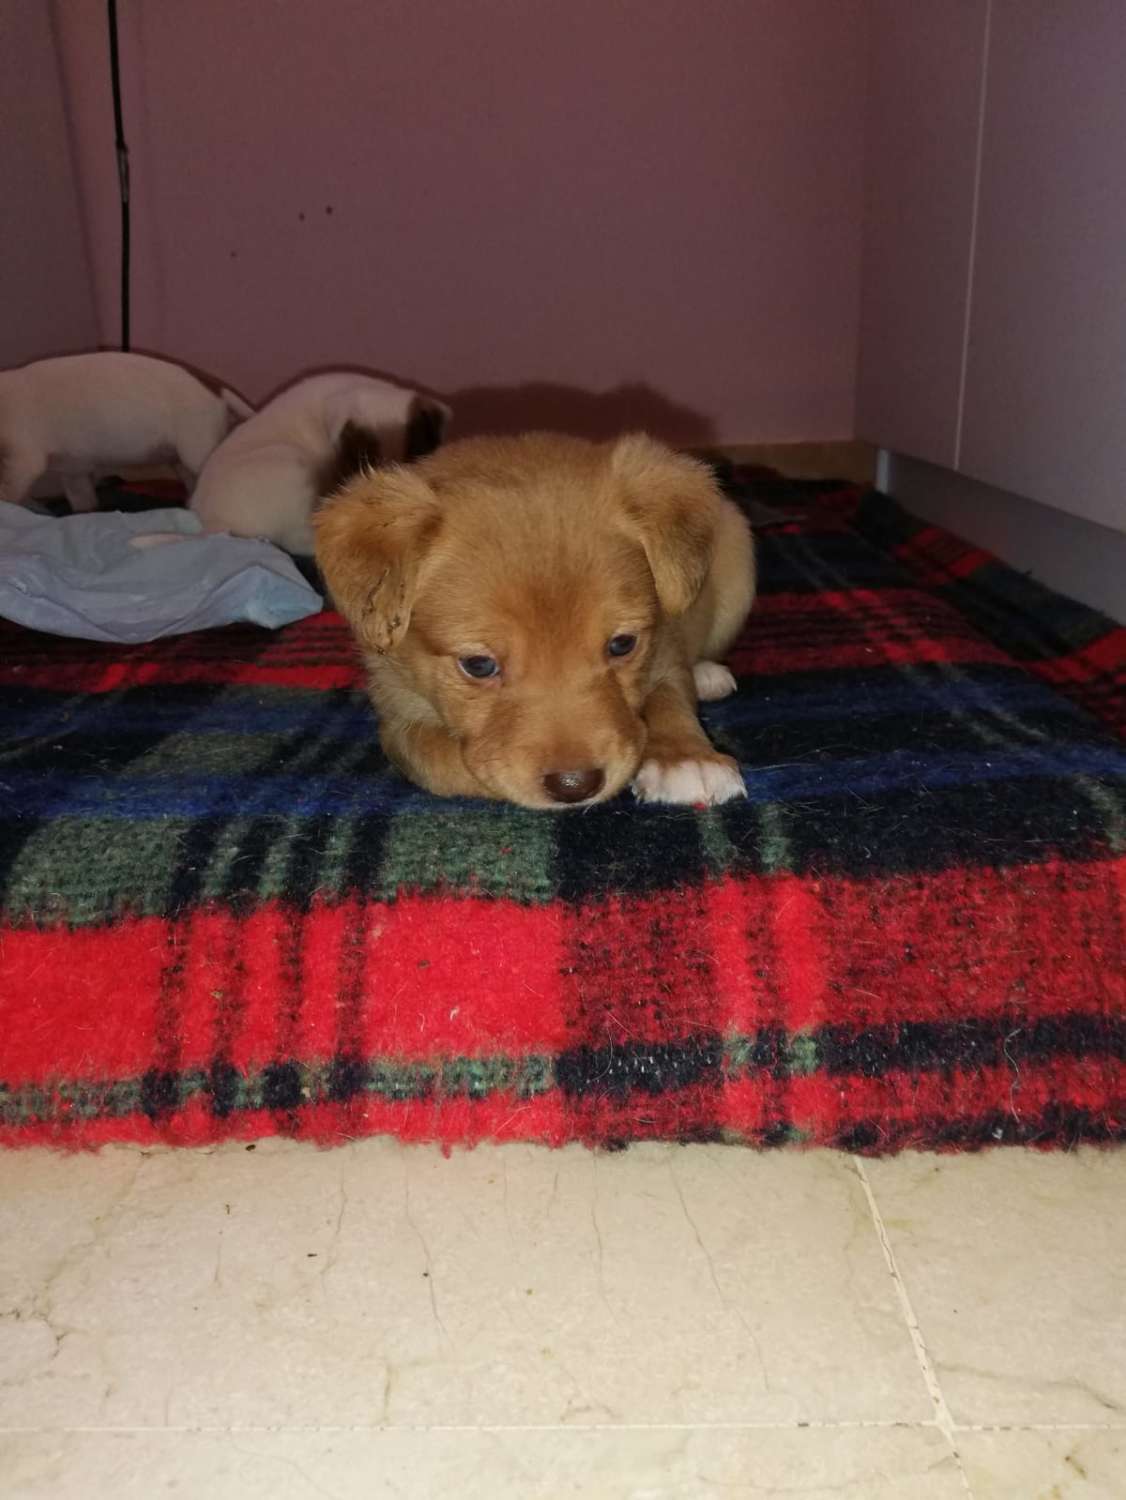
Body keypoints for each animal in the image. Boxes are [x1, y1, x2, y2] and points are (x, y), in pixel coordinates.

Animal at [0, 351, 251, 513]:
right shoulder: (74, 474)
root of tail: (216, 389)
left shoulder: (24, 462)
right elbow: (84, 504)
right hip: (181, 461)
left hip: (197, 451)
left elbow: (7, 493)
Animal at [314, 431, 755, 808]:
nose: (576, 785)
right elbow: (440, 759)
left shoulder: (665, 645)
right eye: (479, 665)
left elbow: (670, 694)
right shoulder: (397, 713)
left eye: (622, 644)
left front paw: (686, 756)